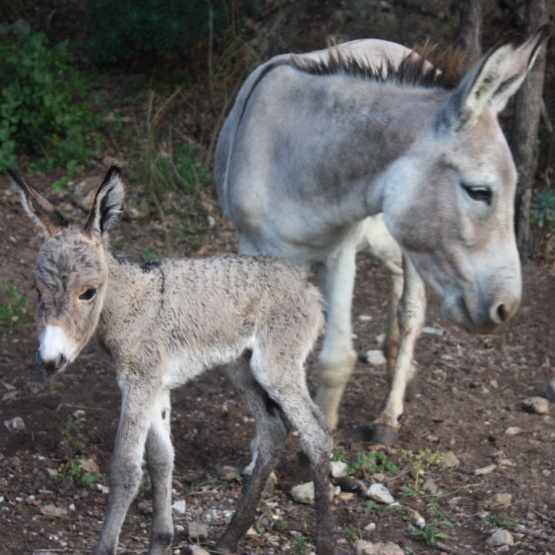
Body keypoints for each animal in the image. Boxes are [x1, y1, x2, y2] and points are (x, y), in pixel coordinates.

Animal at [9, 166, 334, 555]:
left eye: (87, 292)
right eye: (37, 290)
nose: (49, 360)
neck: (130, 302)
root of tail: (307, 285)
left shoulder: (139, 381)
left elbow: (126, 469)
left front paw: (107, 546)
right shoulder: (154, 384)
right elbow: (162, 460)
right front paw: (162, 539)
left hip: (275, 366)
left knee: (317, 433)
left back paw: (324, 541)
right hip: (239, 366)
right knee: (273, 428)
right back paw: (229, 537)